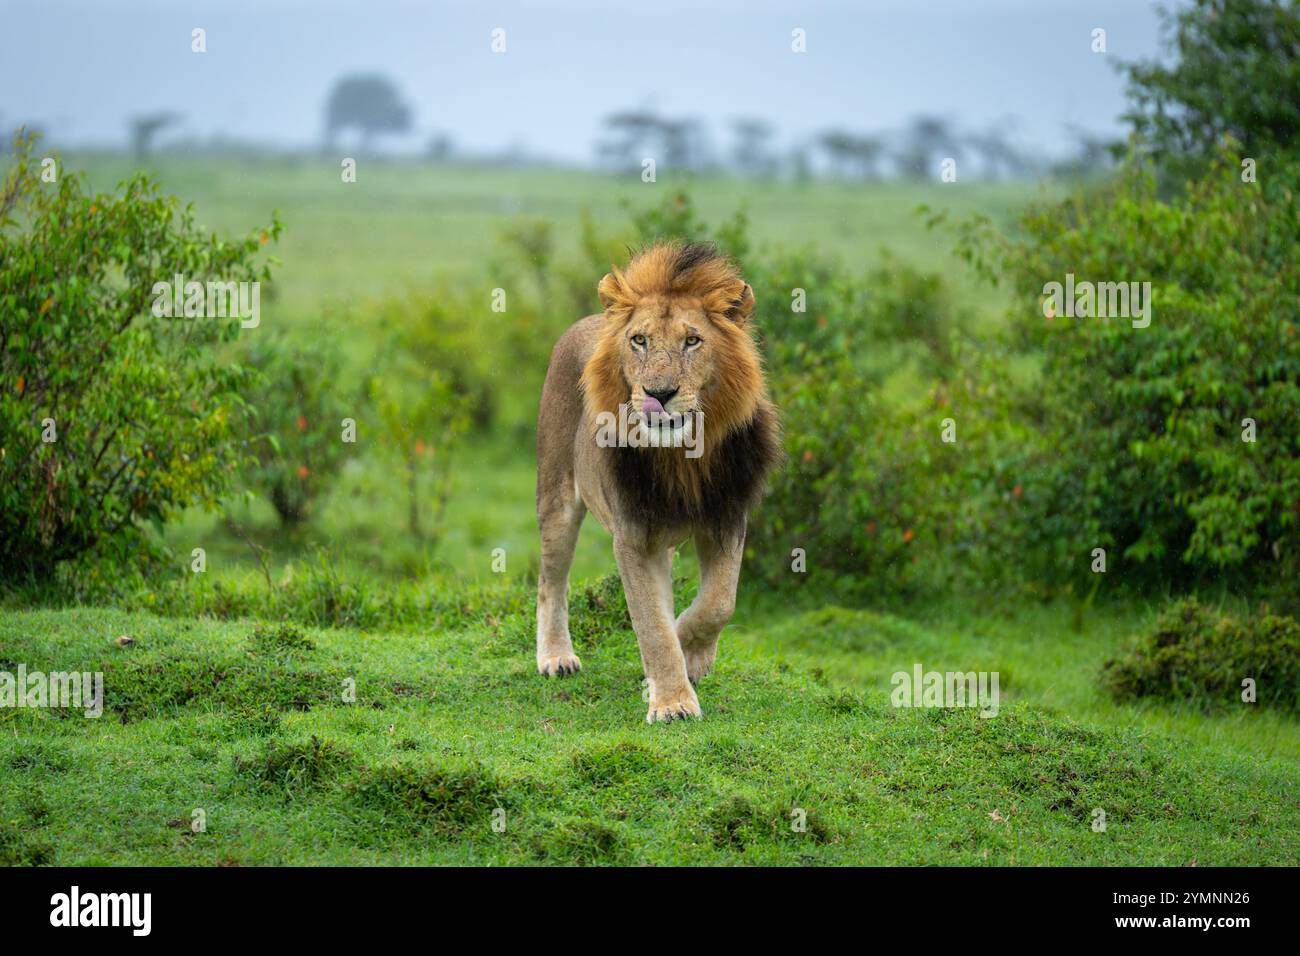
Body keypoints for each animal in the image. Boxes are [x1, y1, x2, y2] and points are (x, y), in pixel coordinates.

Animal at [535, 241, 781, 723]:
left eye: (692, 340)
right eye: (639, 341)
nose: (659, 394)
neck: (680, 456)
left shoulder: (727, 519)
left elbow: (717, 604)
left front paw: (688, 659)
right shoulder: (632, 537)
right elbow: (652, 623)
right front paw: (671, 701)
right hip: (556, 498)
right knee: (551, 579)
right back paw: (555, 657)